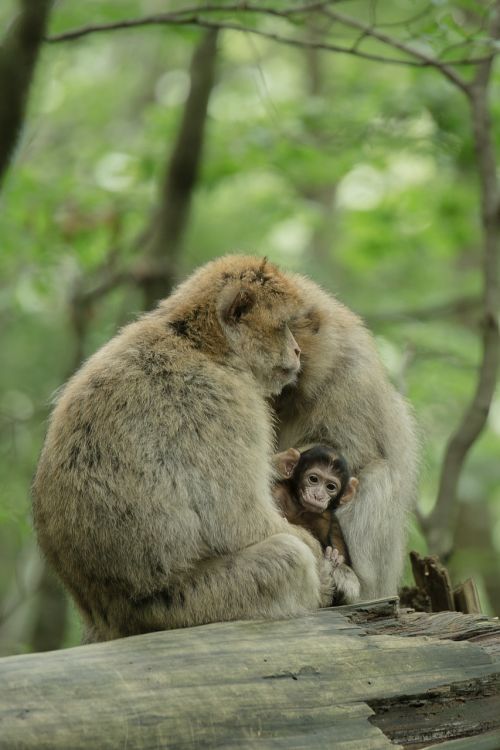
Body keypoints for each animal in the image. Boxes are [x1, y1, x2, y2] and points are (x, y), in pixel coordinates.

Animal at [34, 258, 336, 640]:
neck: (203, 346)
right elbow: (238, 521)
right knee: (287, 559)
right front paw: (320, 560)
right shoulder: (226, 406)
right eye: (283, 327)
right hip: (188, 604)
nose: (297, 351)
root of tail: (110, 616)